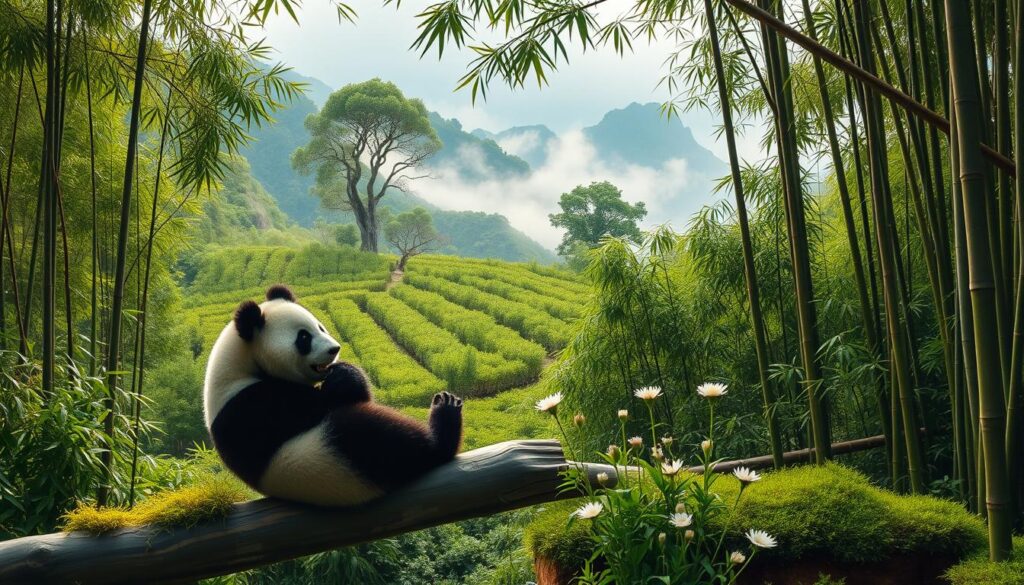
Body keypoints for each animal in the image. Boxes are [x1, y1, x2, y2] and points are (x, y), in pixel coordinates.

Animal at [203, 284, 463, 506]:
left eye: (320, 326)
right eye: (303, 338)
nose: (334, 349)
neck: (241, 365)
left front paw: (341, 373)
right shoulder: (256, 405)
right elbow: (329, 402)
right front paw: (341, 379)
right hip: (339, 457)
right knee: (381, 437)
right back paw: (444, 416)